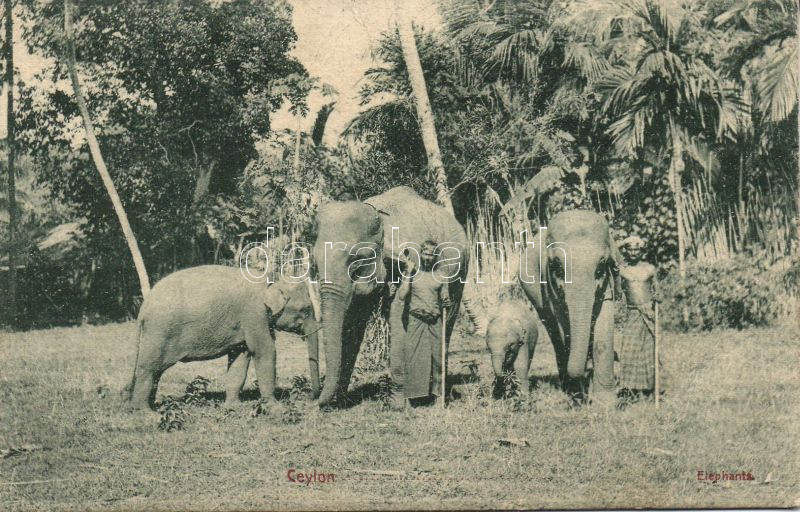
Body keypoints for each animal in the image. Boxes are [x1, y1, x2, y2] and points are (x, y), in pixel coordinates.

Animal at [124, 265, 320, 410]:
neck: (273, 280)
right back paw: (146, 413)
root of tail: (144, 307)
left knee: (155, 371)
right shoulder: (254, 313)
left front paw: (234, 407)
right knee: (149, 368)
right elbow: (265, 351)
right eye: (306, 310)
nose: (312, 399)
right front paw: (275, 407)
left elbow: (241, 357)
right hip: (159, 332)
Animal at [312, 186, 469, 407]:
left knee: (448, 318)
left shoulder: (407, 260)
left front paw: (396, 405)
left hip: (460, 271)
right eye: (315, 265)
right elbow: (352, 322)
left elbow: (398, 315)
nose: (317, 401)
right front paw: (340, 402)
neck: (380, 219)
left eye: (356, 262)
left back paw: (438, 395)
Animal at [518, 210, 622, 404]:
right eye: (557, 268)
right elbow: (563, 325)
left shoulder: (607, 285)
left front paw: (605, 403)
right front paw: (577, 396)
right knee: (554, 333)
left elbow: (603, 329)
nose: (586, 373)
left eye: (601, 267)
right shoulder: (549, 286)